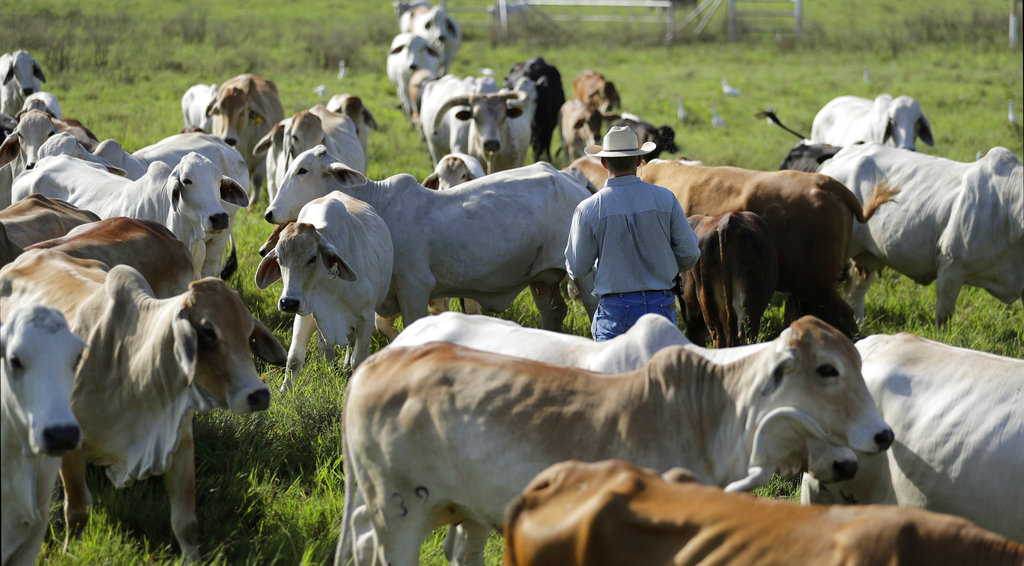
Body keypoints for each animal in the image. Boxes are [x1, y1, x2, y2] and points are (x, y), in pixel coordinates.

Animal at [205, 73, 285, 202]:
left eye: (242, 111)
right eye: (222, 111)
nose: (229, 139)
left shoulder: (262, 159)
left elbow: (257, 180)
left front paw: (253, 202)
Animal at [255, 191, 393, 388]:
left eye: (312, 258)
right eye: (280, 259)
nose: (288, 302)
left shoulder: (366, 317)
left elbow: (358, 359)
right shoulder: (305, 314)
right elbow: (294, 359)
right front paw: (284, 392)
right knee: (327, 347)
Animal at [266, 147, 597, 331]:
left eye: (303, 170)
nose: (270, 212)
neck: (379, 206)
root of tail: (572, 180)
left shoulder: (416, 288)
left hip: (586, 276)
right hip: (542, 280)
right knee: (554, 312)